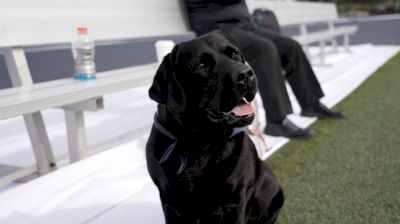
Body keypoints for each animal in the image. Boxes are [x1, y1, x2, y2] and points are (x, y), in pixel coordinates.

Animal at [145, 30, 282, 223]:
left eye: (234, 53)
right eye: (201, 65)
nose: (246, 74)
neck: (199, 144)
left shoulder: (235, 201)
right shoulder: (170, 204)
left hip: (270, 181)